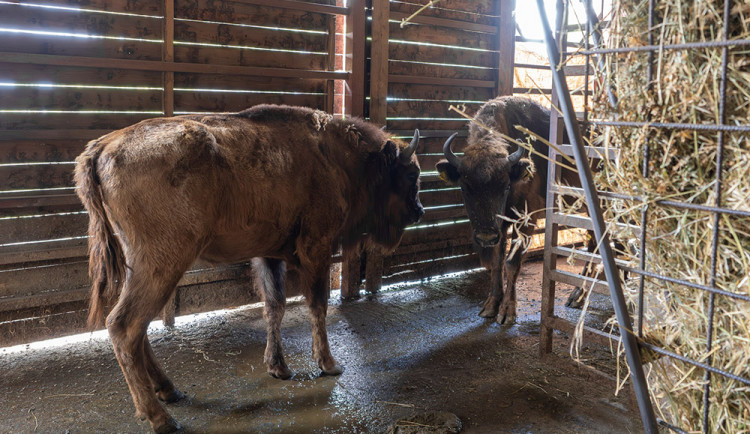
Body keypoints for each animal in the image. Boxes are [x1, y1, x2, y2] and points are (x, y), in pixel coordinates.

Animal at [76, 104, 428, 430]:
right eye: (410, 175)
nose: (419, 211)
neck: (333, 156)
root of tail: (101, 147)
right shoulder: (317, 248)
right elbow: (317, 304)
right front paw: (329, 364)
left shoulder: (269, 255)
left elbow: (275, 305)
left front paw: (278, 367)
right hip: (162, 263)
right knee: (124, 326)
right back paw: (160, 417)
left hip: (140, 266)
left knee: (137, 329)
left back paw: (168, 390)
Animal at [438, 96, 580, 324]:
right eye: (464, 188)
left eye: (505, 186)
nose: (485, 237)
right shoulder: (500, 227)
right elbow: (497, 262)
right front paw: (490, 306)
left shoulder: (525, 220)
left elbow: (512, 262)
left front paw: (507, 312)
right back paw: (577, 297)